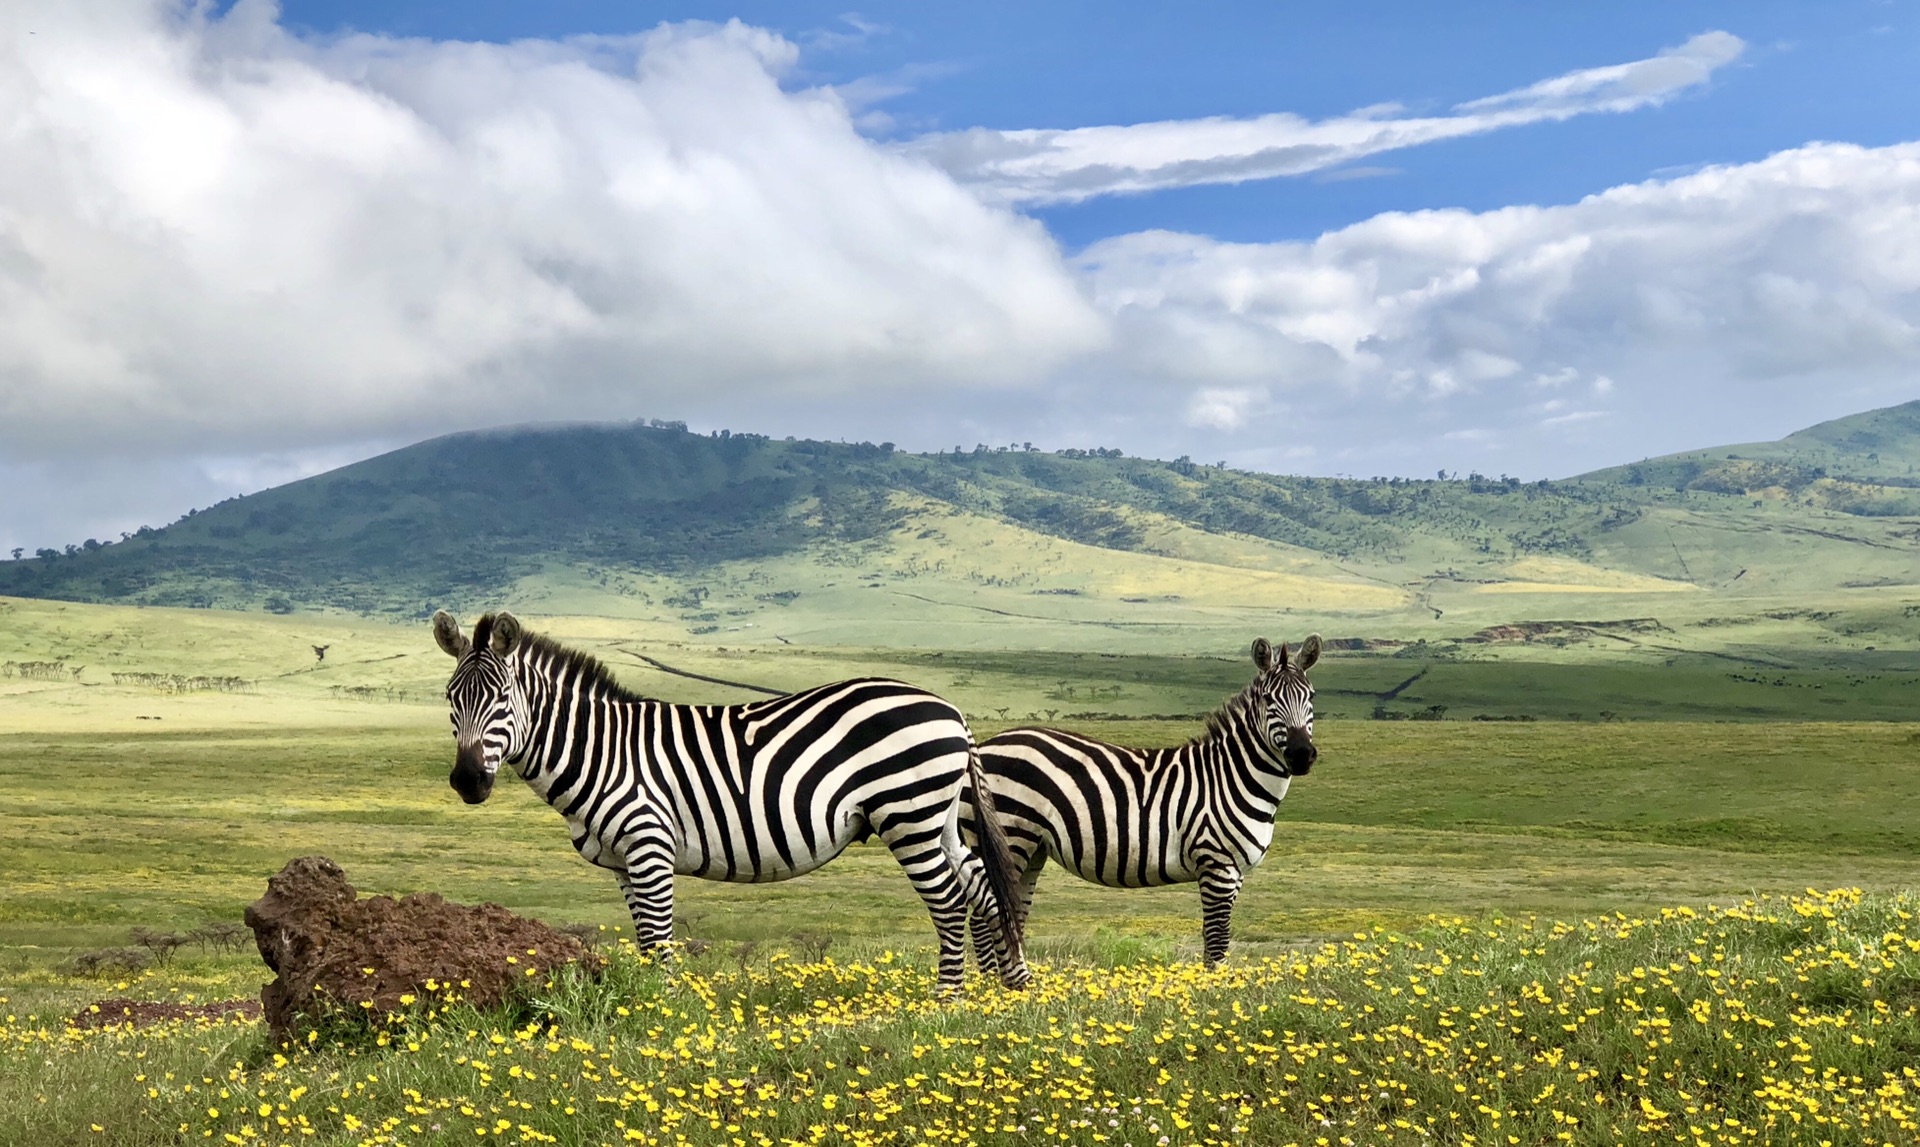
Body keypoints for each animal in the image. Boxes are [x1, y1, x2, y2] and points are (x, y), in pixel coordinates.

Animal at [435, 607, 1036, 991]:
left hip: (908, 814)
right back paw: (1007, 995)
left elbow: (659, 941)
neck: (603, 752)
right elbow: (644, 941)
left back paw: (947, 1001)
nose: (467, 782)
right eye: (449, 699)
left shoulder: (649, 848)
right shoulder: (623, 863)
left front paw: (665, 1017)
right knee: (984, 889)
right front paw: (649, 1011)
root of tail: (952, 711)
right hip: (940, 819)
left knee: (950, 901)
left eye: (502, 698)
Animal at [960, 634, 1320, 964]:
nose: (1301, 754)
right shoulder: (1216, 864)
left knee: (1010, 913)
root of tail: (982, 746)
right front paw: (1215, 992)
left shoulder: (1234, 874)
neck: (1232, 776)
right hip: (1009, 837)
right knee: (982, 916)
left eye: (1311, 696)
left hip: (1031, 847)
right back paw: (989, 984)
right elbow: (1216, 945)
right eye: (1268, 699)